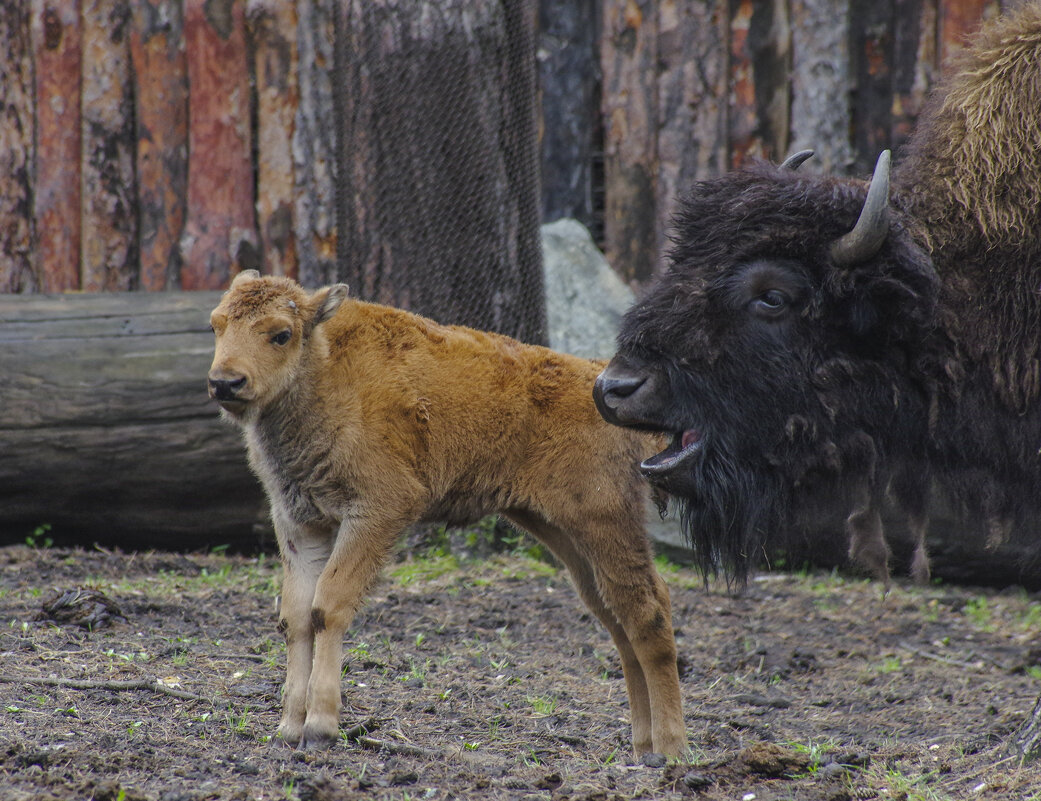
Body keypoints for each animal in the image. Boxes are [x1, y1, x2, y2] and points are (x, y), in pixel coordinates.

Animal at [207, 270, 687, 758]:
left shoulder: (377, 512)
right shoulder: (300, 524)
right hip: (565, 534)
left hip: (604, 522)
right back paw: (643, 744)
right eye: (216, 325)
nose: (226, 383)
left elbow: (329, 606)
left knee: (648, 612)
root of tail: (596, 375)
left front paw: (320, 727)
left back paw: (670, 748)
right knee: (617, 617)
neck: (323, 367)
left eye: (281, 334)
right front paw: (288, 727)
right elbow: (296, 617)